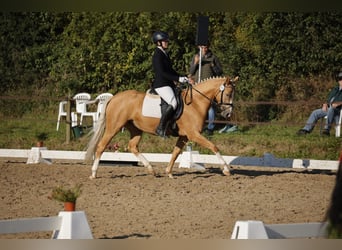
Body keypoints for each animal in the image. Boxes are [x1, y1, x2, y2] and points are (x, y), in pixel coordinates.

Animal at [85, 75, 238, 179]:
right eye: (228, 94)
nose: (228, 114)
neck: (195, 103)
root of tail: (114, 98)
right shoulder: (193, 134)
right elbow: (213, 147)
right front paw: (226, 169)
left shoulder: (184, 136)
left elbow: (176, 152)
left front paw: (168, 172)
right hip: (114, 127)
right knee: (101, 146)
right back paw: (93, 173)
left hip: (136, 129)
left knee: (132, 146)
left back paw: (151, 169)